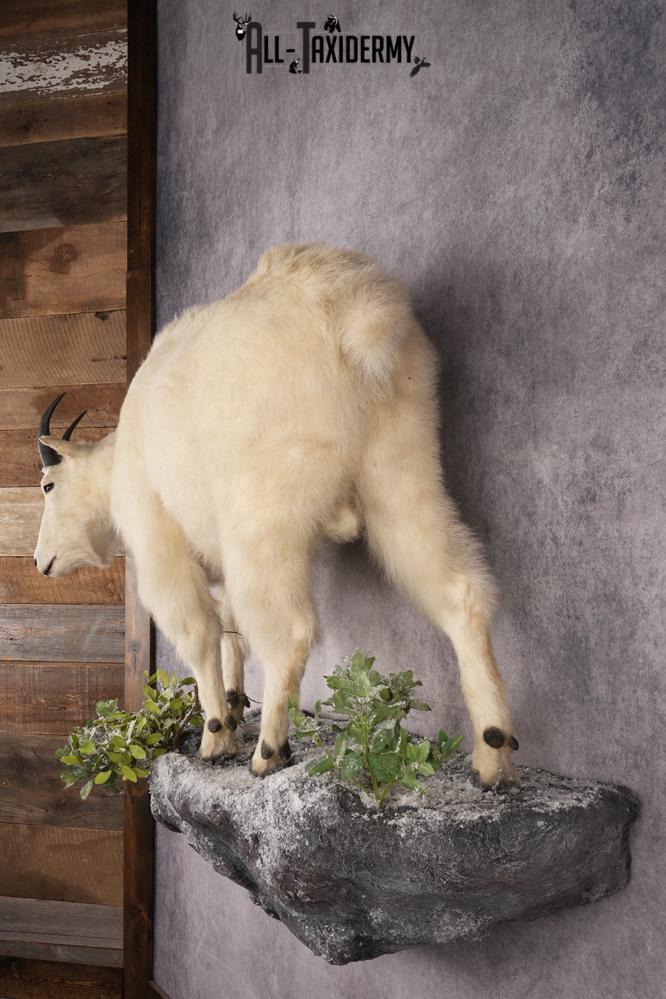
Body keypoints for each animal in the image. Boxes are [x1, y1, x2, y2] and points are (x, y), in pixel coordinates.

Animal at [34, 242, 518, 785]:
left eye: (48, 484)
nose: (40, 561)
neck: (121, 456)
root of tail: (353, 316)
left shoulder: (160, 540)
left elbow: (200, 633)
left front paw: (216, 735)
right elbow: (231, 631)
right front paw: (233, 706)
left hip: (264, 517)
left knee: (289, 632)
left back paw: (269, 750)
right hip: (401, 473)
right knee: (460, 593)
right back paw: (491, 755)